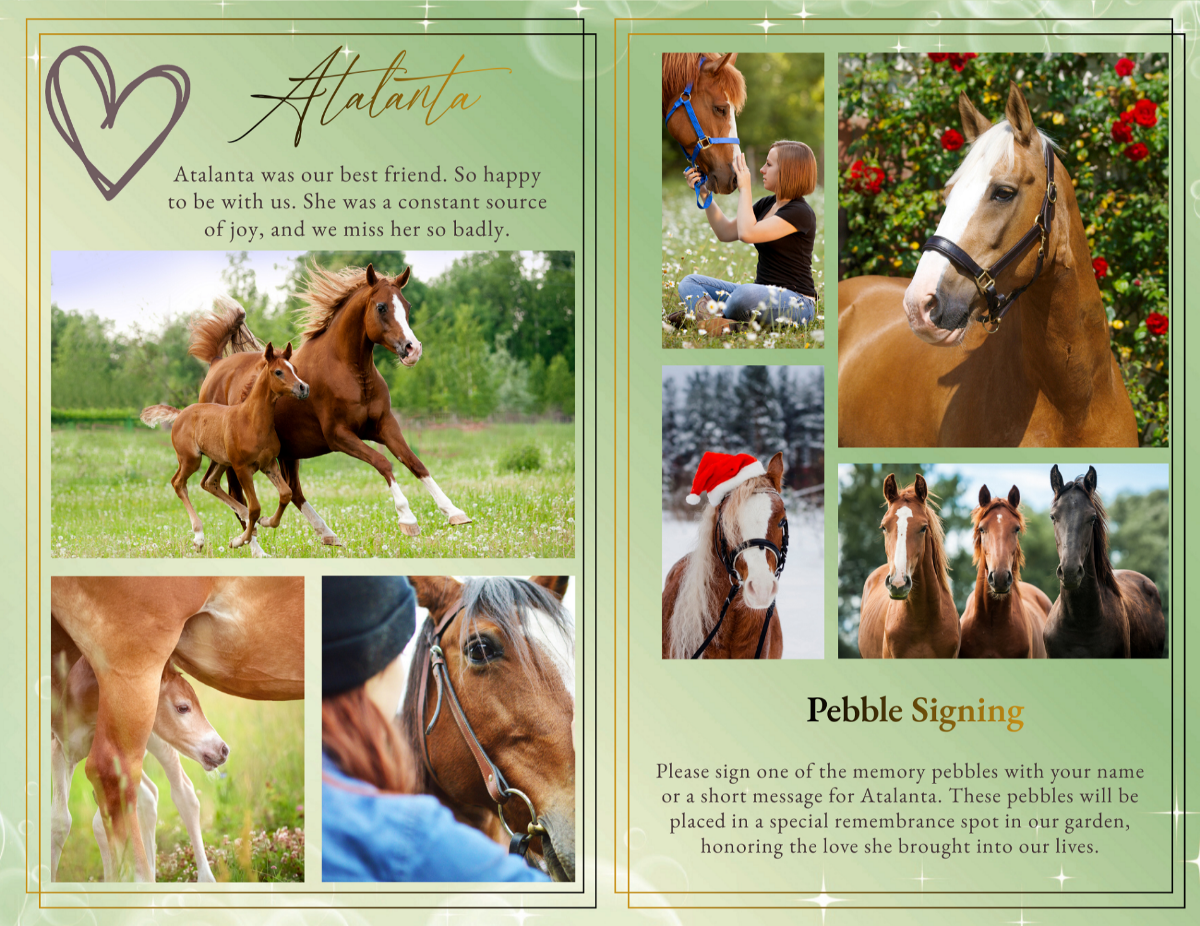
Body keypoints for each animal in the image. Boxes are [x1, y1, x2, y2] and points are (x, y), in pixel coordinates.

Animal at [51, 656, 227, 882]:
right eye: (183, 707)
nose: (223, 749)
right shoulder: (61, 750)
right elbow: (62, 822)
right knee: (147, 796)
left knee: (182, 792)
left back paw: (204, 879)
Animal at [141, 341, 309, 557]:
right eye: (278, 371)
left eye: (294, 369)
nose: (303, 387)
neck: (251, 421)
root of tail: (180, 413)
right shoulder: (241, 468)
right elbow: (255, 507)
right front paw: (239, 540)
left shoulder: (269, 464)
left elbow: (285, 494)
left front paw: (265, 522)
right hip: (191, 459)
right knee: (178, 483)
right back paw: (199, 537)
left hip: (220, 460)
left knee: (209, 482)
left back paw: (245, 520)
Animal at [191, 264, 471, 546]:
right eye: (381, 307)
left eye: (408, 306)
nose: (413, 349)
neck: (349, 371)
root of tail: (216, 364)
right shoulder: (339, 435)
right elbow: (383, 462)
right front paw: (408, 519)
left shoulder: (384, 425)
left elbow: (415, 463)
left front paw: (455, 512)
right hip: (235, 459)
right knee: (238, 497)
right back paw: (253, 545)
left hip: (288, 452)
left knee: (293, 492)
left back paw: (326, 533)